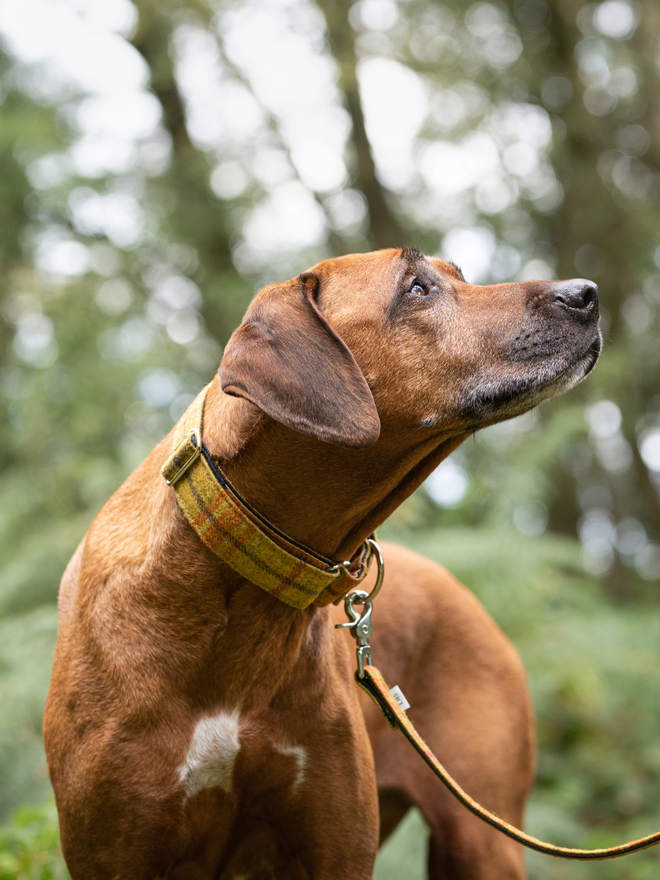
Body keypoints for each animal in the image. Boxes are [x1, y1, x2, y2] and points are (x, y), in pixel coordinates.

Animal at [42, 249, 600, 880]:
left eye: (456, 274)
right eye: (417, 288)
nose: (587, 293)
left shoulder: (336, 846)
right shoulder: (117, 848)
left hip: (482, 840)